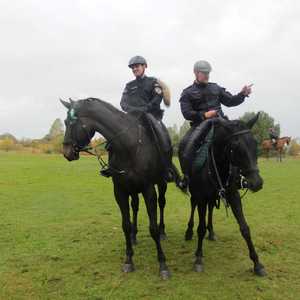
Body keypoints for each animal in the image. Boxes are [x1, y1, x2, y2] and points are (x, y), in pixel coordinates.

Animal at [60, 98, 182, 278]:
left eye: (72, 122)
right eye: (64, 122)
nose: (67, 152)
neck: (128, 146)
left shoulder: (148, 190)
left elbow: (152, 227)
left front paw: (163, 264)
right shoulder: (120, 191)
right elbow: (125, 225)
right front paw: (128, 260)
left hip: (161, 184)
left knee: (161, 204)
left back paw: (162, 232)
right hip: (133, 190)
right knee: (135, 207)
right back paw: (134, 236)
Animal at [177, 114, 266, 276]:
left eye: (255, 143)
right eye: (236, 147)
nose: (256, 182)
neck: (218, 164)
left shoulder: (233, 195)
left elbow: (244, 228)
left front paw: (257, 264)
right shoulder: (201, 196)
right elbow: (200, 228)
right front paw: (198, 259)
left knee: (211, 208)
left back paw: (211, 232)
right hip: (195, 193)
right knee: (193, 205)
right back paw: (189, 231)